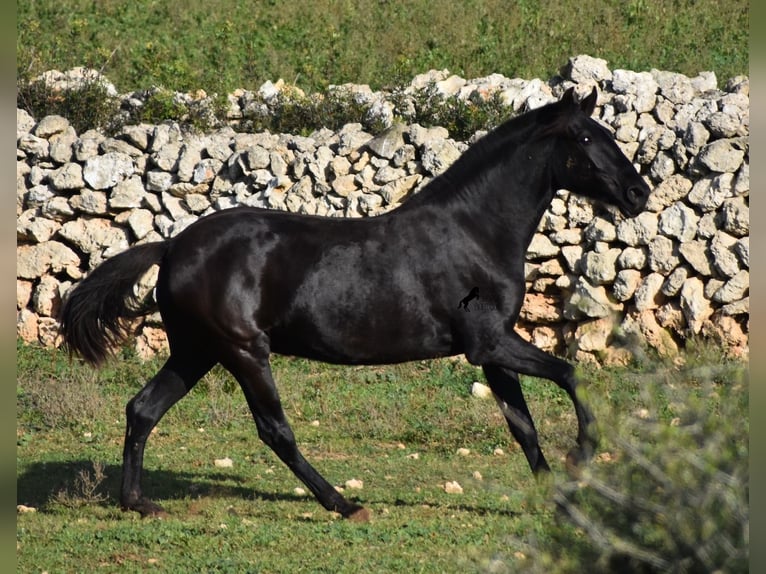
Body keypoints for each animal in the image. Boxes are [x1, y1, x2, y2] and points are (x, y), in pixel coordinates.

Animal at [57, 88, 652, 524]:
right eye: (585, 136)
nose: (638, 194)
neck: (474, 232)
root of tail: (173, 247)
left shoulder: (490, 352)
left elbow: (522, 425)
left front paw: (560, 500)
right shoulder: (490, 343)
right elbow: (572, 375)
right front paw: (581, 459)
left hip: (196, 351)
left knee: (143, 409)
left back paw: (138, 502)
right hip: (243, 351)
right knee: (274, 431)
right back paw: (344, 504)